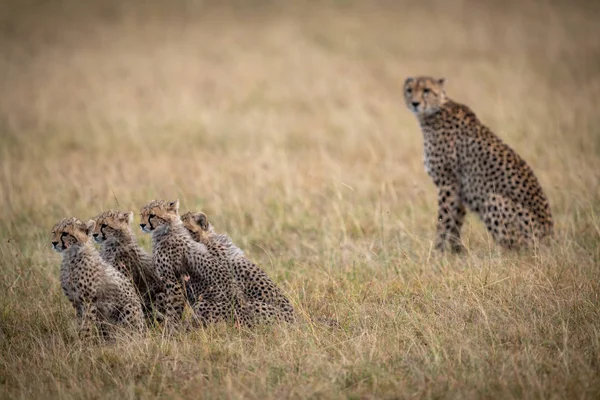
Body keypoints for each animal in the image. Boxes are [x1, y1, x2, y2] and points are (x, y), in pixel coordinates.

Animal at [139, 200, 247, 328]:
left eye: (152, 215)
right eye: (142, 215)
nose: (141, 225)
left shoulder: (173, 282)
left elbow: (173, 308)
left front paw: (169, 328)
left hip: (202, 304)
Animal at [404, 76, 552, 252]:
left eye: (426, 90)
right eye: (409, 90)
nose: (415, 103)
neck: (434, 112)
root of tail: (551, 239)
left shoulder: (448, 184)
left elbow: (444, 220)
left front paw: (437, 251)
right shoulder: (459, 188)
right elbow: (455, 221)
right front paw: (456, 251)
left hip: (494, 199)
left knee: (515, 246)